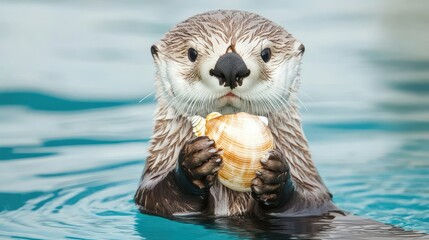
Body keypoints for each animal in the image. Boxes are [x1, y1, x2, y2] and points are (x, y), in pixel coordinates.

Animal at [134, 9, 338, 217]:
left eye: (266, 53)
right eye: (192, 53)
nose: (230, 66)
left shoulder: (315, 198)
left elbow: (307, 201)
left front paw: (275, 178)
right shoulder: (151, 192)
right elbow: (158, 198)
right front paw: (194, 161)